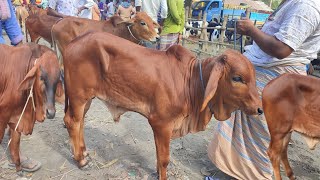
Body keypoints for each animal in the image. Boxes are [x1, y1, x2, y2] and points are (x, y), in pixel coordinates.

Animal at [0, 43, 62, 174]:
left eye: (57, 80)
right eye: (42, 77)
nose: (51, 112)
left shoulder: (16, 118)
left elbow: (15, 141)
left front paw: (19, 167)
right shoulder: (2, 116)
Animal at [62, 31, 262, 179]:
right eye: (237, 78)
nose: (260, 109)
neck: (191, 82)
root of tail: (72, 43)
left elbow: (159, 156)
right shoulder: (161, 123)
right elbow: (164, 158)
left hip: (86, 98)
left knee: (80, 122)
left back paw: (84, 153)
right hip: (79, 96)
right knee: (72, 122)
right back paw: (80, 160)